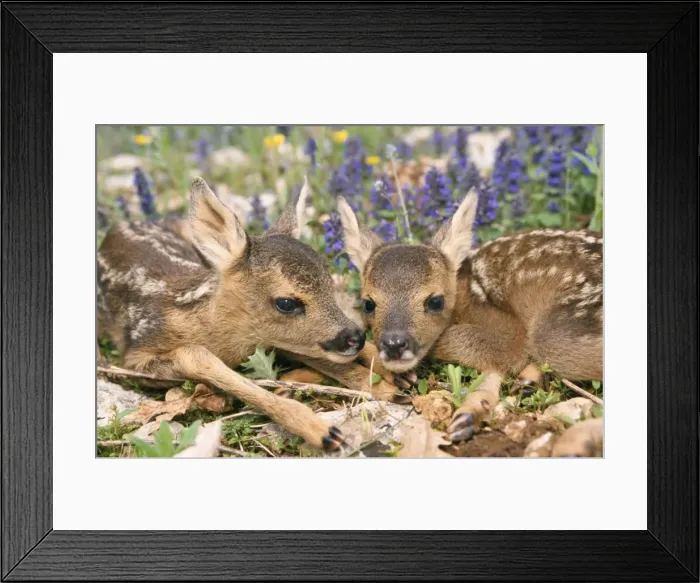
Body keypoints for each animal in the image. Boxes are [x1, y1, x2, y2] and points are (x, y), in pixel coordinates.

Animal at [97, 176, 399, 452]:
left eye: (329, 282)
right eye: (286, 303)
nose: (355, 337)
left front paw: (386, 378)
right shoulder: (134, 356)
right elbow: (195, 356)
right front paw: (323, 431)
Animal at [337, 189, 603, 457]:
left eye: (435, 301)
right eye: (368, 303)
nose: (394, 344)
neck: (465, 292)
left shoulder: (509, 330)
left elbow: (464, 343)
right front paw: (469, 415)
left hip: (554, 333)